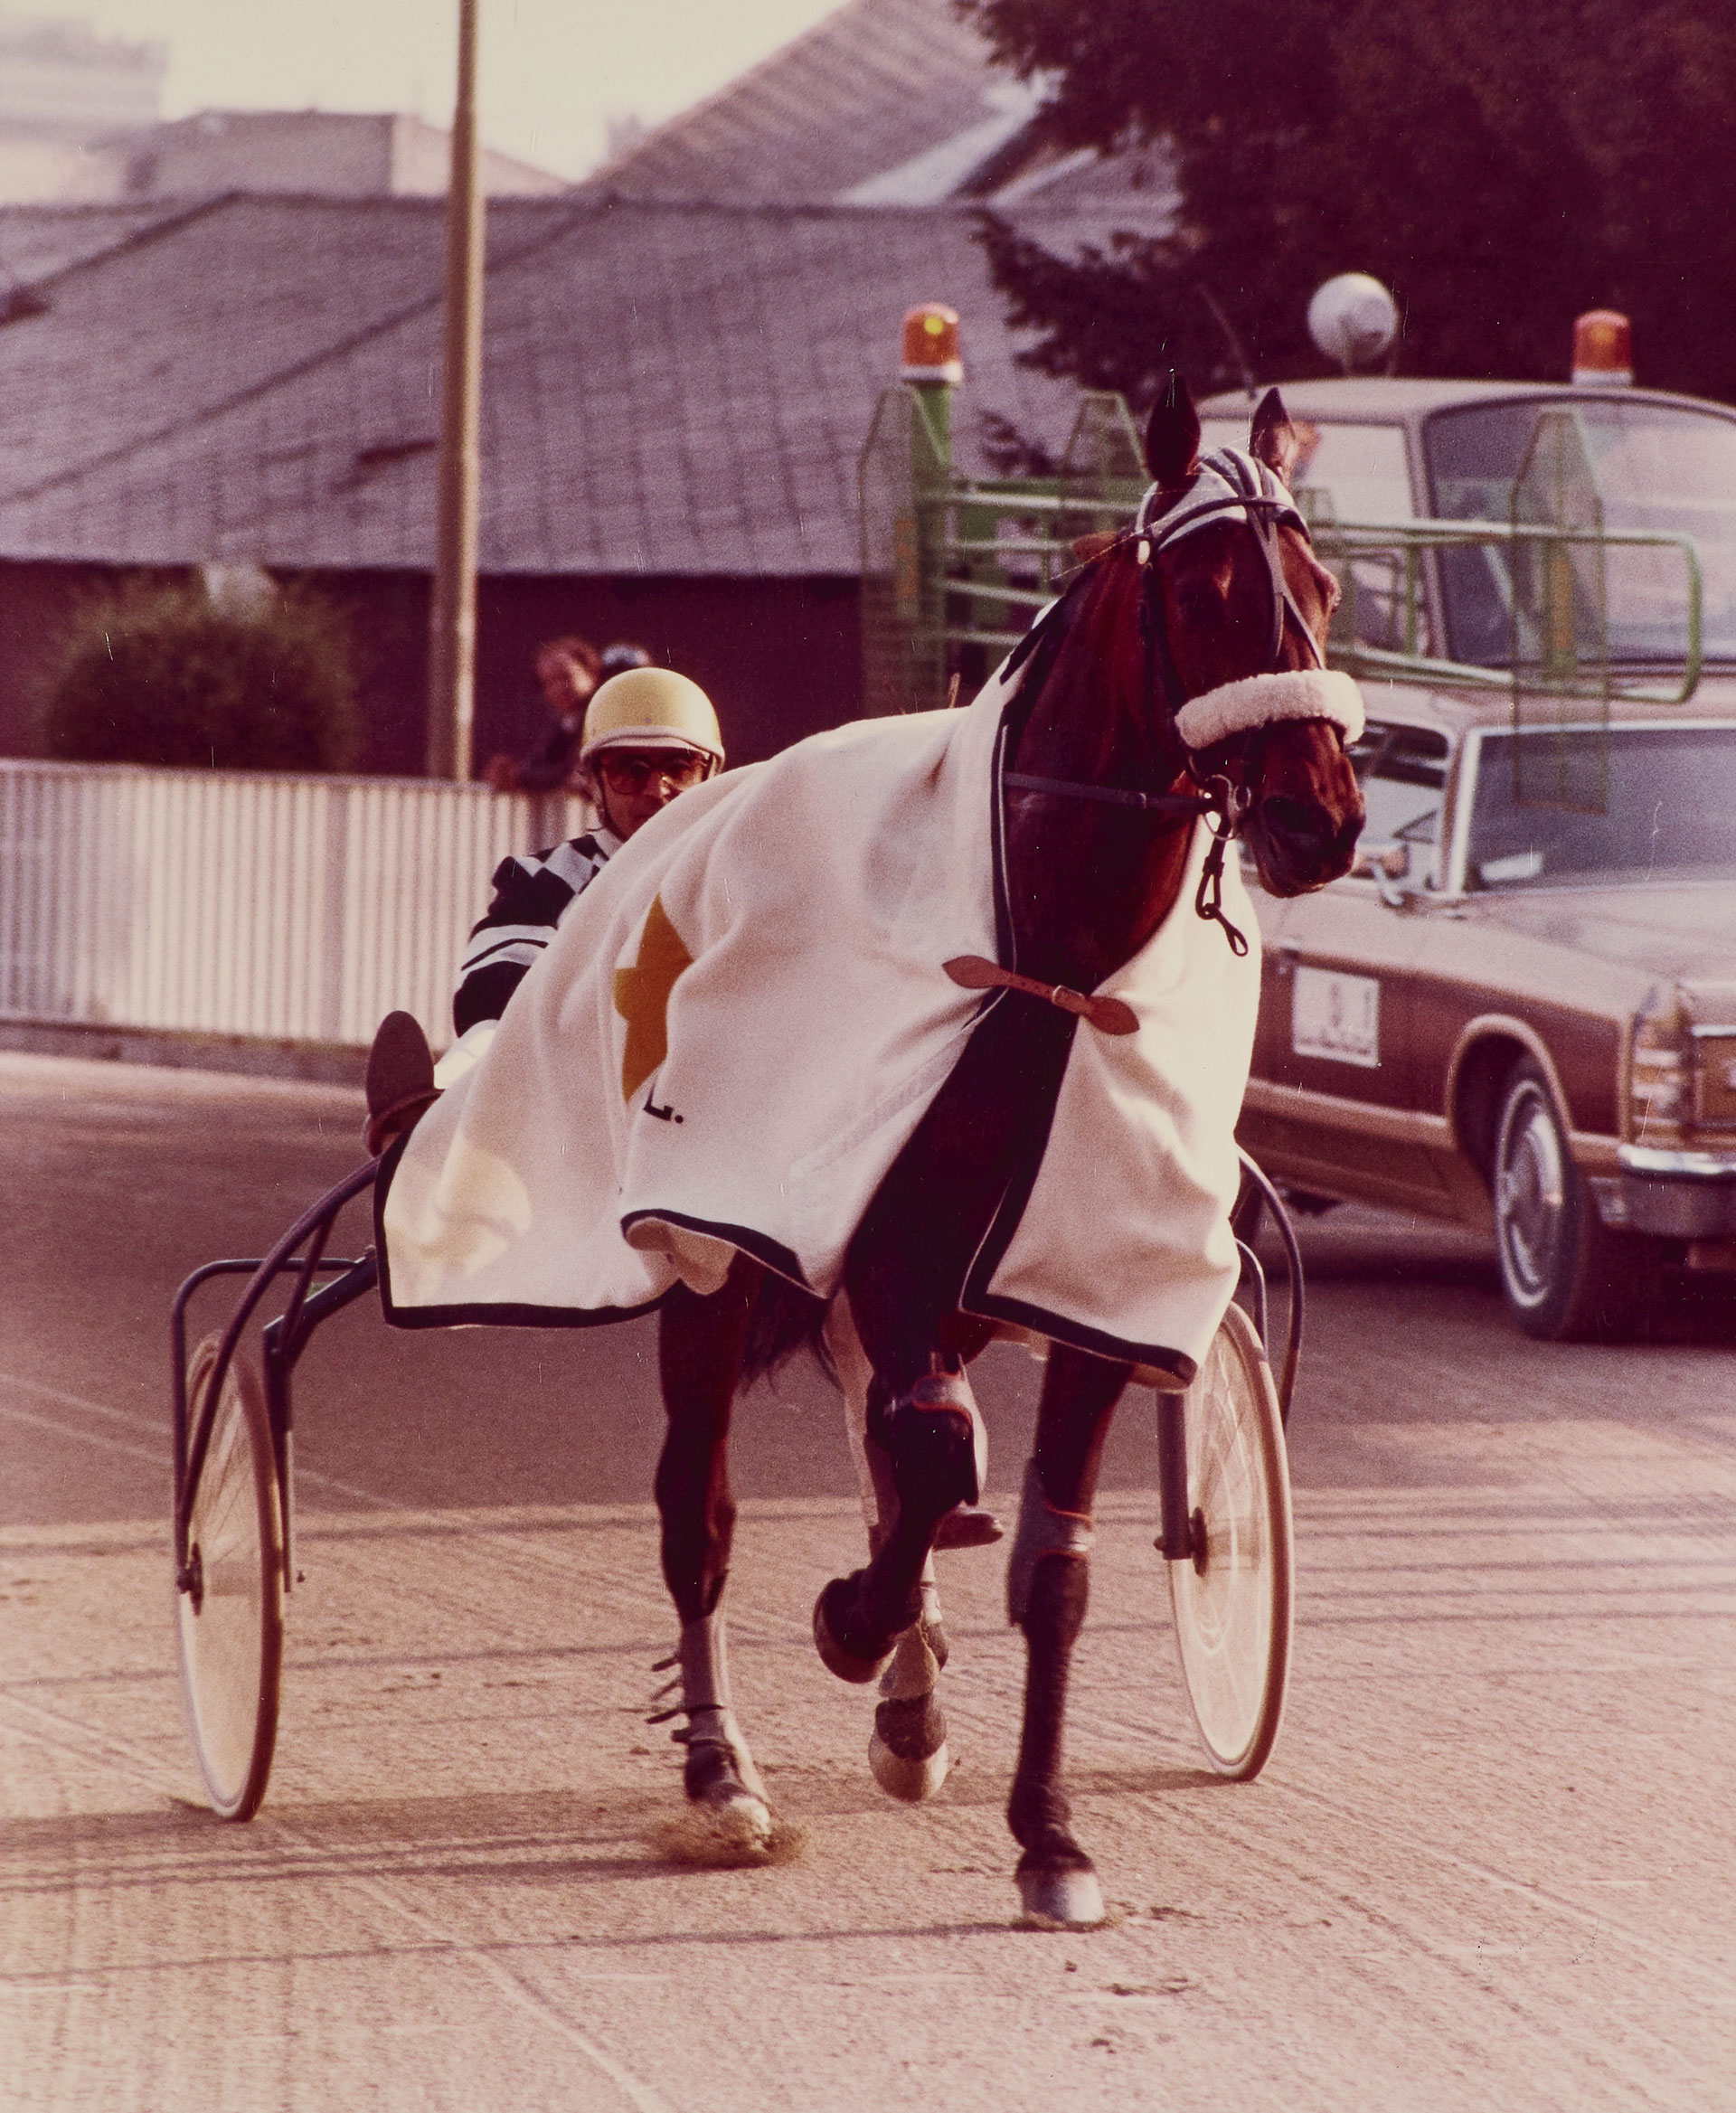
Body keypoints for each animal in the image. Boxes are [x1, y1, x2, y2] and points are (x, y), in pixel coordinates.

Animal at [646, 372, 1368, 1927]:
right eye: (1211, 593)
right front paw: (855, 1628)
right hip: (714, 1264)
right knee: (703, 1509)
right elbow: (916, 1470)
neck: (1045, 970)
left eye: (1327, 588)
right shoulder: (897, 1260)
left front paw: (1048, 1833)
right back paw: (723, 1773)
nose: (1322, 817)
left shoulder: (1083, 1287)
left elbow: (1050, 1561)